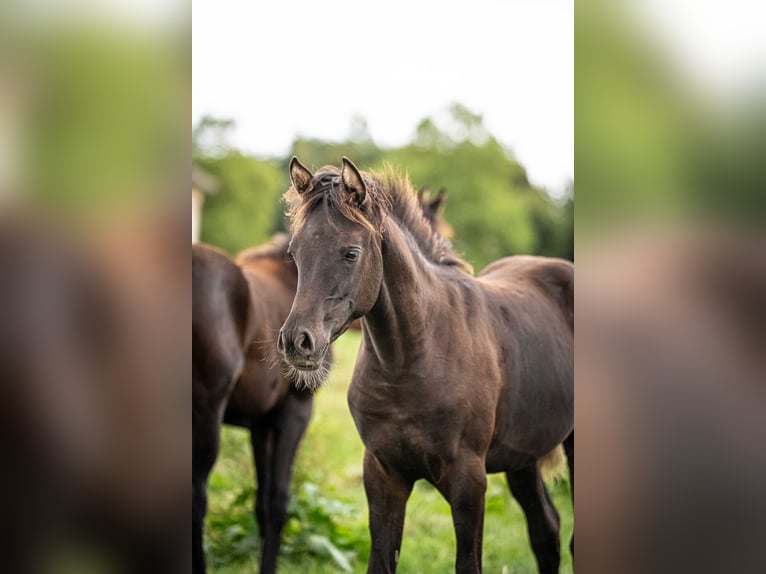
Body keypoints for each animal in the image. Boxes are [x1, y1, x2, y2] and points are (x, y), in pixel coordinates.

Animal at [277, 157, 574, 573]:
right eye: (294, 252)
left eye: (350, 252)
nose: (296, 342)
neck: (410, 362)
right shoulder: (383, 474)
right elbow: (380, 561)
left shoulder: (469, 482)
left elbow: (468, 563)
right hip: (523, 457)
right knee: (546, 531)